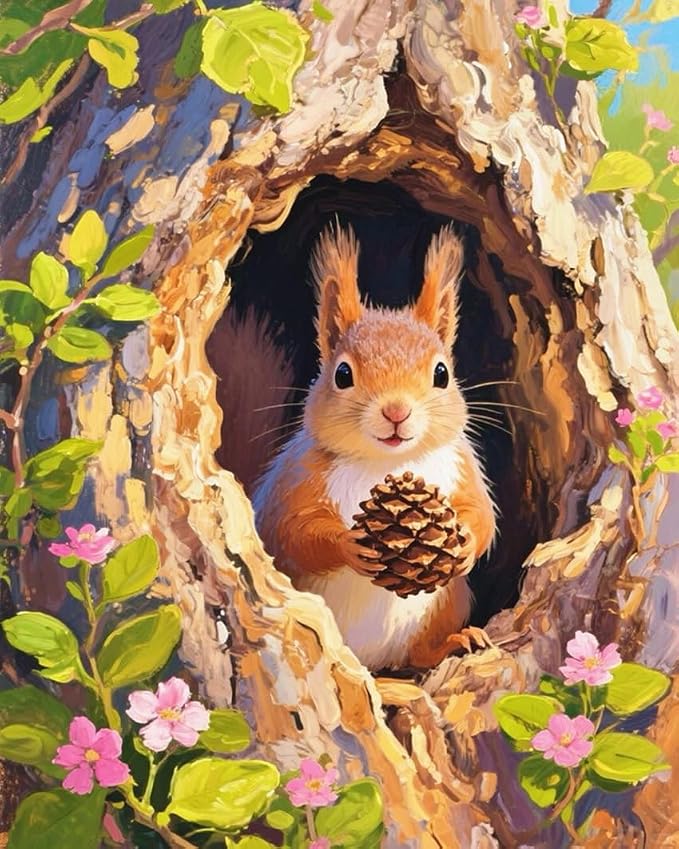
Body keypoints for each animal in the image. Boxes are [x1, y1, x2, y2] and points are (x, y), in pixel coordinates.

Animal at [250, 224, 496, 671]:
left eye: (442, 373)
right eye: (342, 374)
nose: (396, 410)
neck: (389, 465)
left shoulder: (461, 466)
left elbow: (481, 512)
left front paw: (467, 539)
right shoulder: (298, 478)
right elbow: (293, 533)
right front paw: (347, 543)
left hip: (446, 603)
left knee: (420, 655)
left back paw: (456, 643)